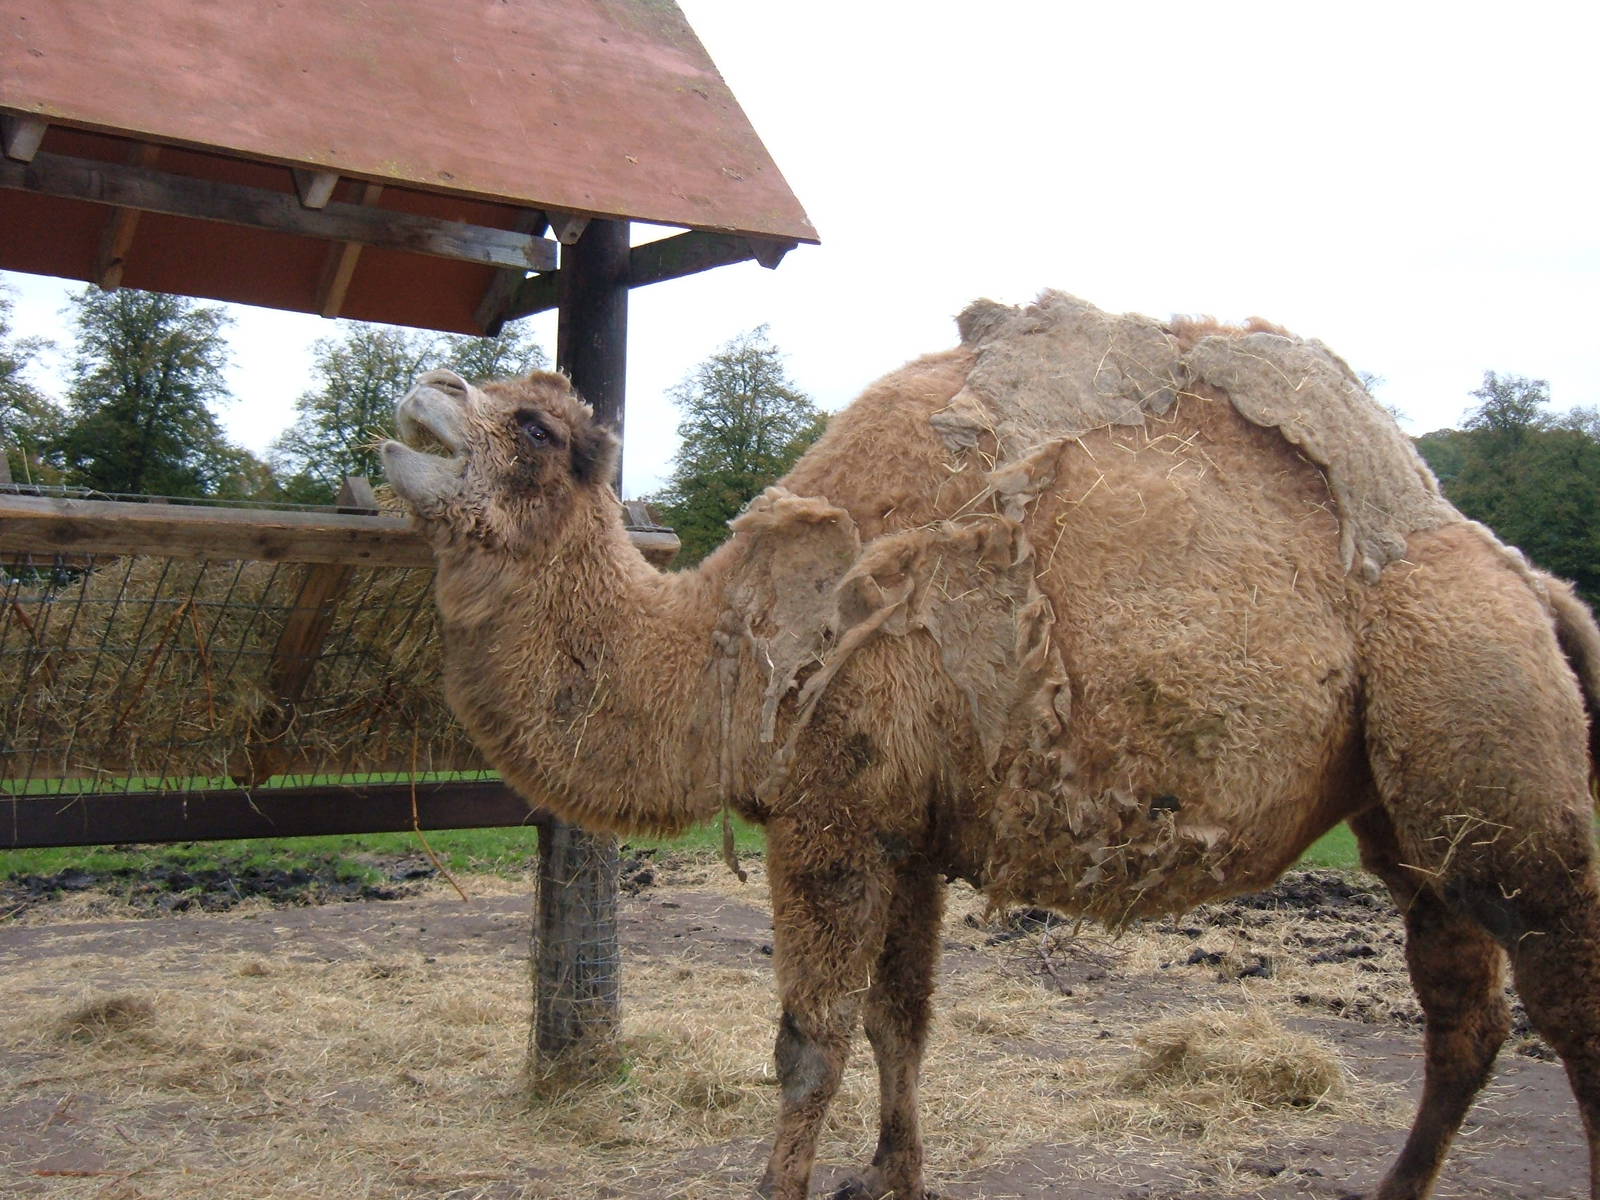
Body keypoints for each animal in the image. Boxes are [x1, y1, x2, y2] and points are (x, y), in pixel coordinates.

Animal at [382, 292, 1600, 1200]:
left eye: (535, 429)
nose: (428, 386)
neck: (731, 654)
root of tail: (1531, 584)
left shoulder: (830, 820)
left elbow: (808, 1043)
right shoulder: (904, 834)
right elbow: (900, 1023)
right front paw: (892, 1176)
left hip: (1488, 743)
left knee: (1563, 990)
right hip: (1414, 811)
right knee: (1464, 1016)